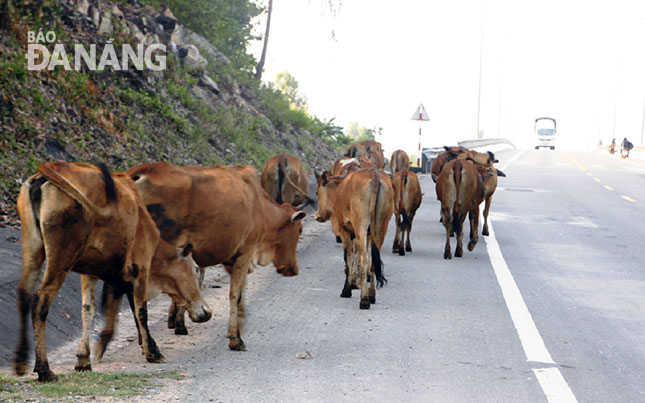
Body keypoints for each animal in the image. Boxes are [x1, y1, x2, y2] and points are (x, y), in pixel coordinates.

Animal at [14, 163, 211, 384]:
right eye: (195, 269)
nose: (206, 312)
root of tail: (45, 171)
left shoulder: (89, 271)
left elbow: (88, 310)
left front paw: (83, 360)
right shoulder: (140, 267)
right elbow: (140, 311)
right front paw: (152, 351)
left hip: (33, 250)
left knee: (23, 294)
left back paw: (20, 362)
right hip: (61, 257)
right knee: (40, 301)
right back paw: (44, 369)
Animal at [128, 163, 306, 352]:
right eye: (299, 230)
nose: (293, 269)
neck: (261, 206)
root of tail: (139, 173)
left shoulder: (230, 259)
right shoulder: (245, 253)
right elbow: (235, 294)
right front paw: (235, 338)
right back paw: (150, 347)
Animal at [312, 168, 392, 310]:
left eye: (317, 192)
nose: (316, 216)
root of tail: (374, 174)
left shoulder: (345, 231)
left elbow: (348, 258)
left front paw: (347, 289)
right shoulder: (368, 235)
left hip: (360, 227)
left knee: (364, 259)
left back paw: (364, 300)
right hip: (381, 227)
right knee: (372, 260)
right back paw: (371, 295)